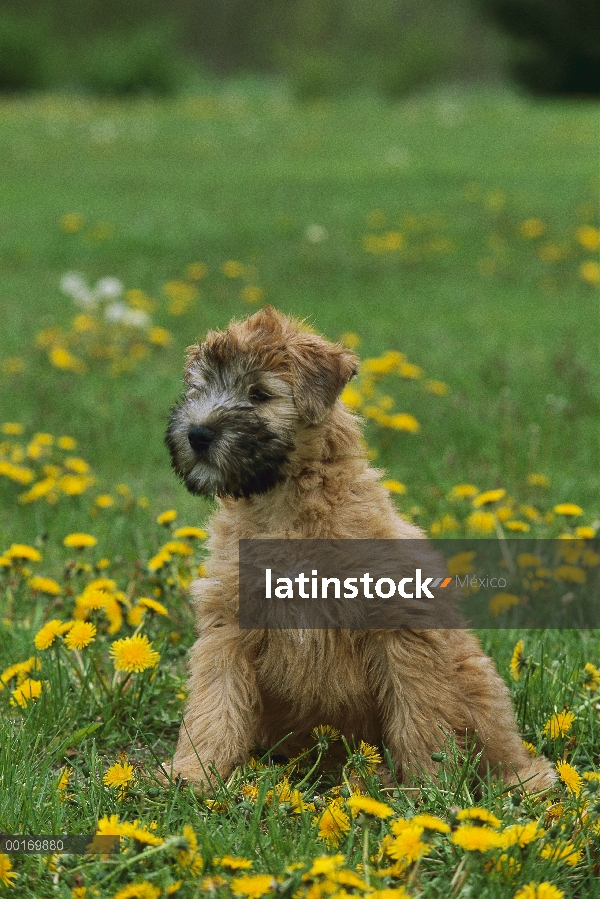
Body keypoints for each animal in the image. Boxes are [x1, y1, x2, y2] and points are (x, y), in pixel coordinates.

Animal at [163, 310, 552, 796]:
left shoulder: (400, 628)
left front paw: (425, 788)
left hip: (472, 676)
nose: (197, 434)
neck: (285, 511)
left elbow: (418, 715)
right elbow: (214, 705)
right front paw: (195, 773)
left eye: (259, 393)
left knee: (497, 746)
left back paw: (517, 781)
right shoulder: (227, 628)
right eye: (198, 389)